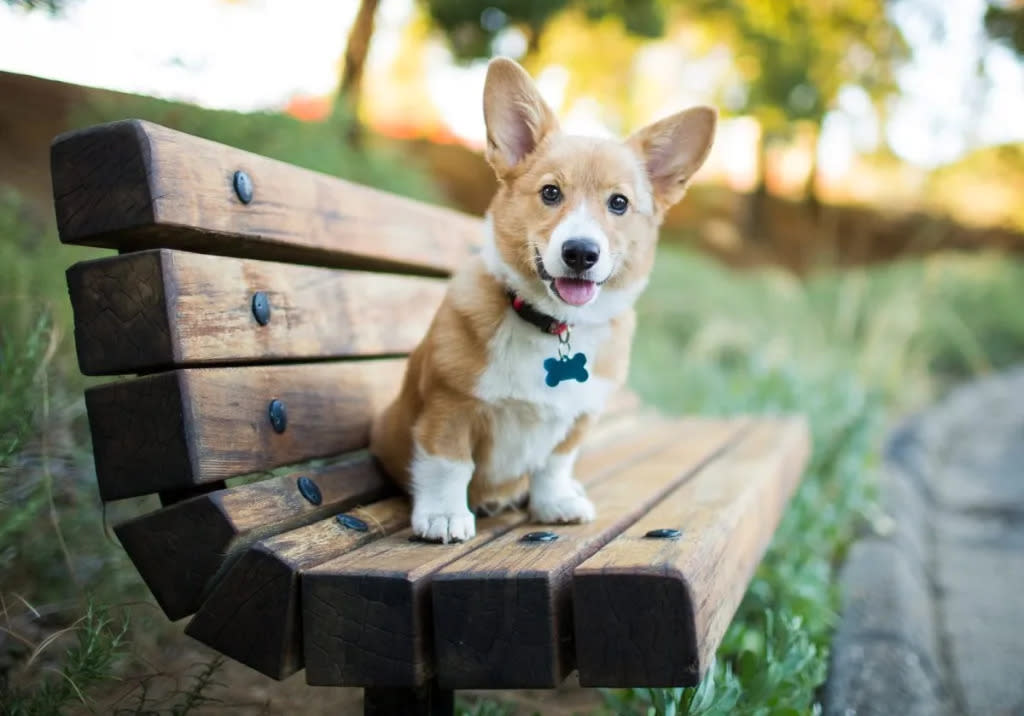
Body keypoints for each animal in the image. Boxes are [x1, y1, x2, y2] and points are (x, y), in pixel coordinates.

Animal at [372, 57, 716, 544]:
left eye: (619, 203)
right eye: (551, 193)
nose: (581, 253)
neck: (553, 325)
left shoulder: (577, 419)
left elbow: (553, 465)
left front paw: (554, 503)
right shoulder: (449, 407)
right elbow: (450, 465)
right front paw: (443, 516)